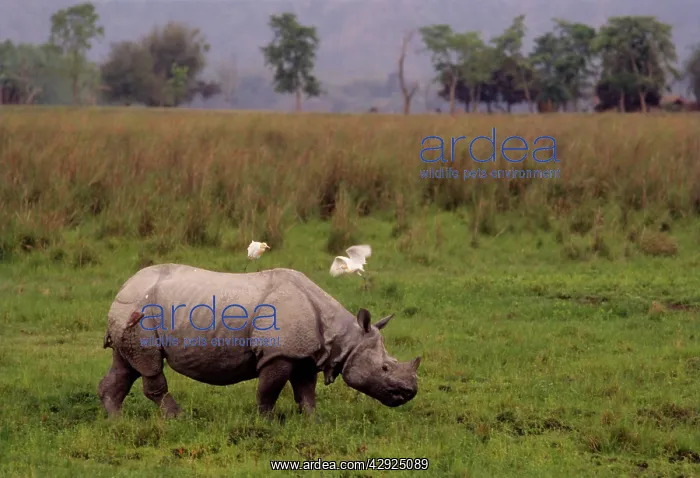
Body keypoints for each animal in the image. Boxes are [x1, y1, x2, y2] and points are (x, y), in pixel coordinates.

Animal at [98, 263, 421, 418]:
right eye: (385, 369)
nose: (409, 393)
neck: (343, 336)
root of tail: (123, 285)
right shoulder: (279, 355)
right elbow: (269, 391)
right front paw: (266, 422)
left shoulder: (305, 355)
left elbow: (306, 394)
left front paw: (313, 422)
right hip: (140, 310)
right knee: (149, 364)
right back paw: (178, 419)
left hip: (132, 311)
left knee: (126, 365)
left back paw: (117, 421)